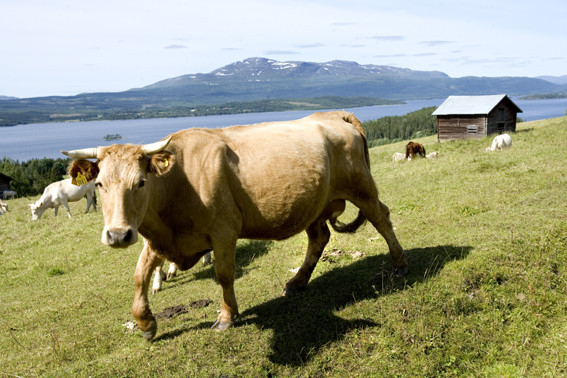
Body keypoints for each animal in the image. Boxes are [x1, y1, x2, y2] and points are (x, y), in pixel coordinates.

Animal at [62, 110, 408, 342]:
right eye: (100, 184)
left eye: (141, 182)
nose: (118, 234)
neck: (178, 183)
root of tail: (334, 114)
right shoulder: (158, 238)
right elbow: (139, 276)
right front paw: (146, 324)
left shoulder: (224, 231)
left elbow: (224, 274)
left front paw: (227, 316)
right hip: (314, 205)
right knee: (319, 237)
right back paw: (297, 282)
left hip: (361, 188)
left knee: (382, 218)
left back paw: (399, 263)